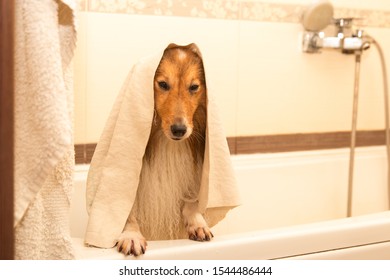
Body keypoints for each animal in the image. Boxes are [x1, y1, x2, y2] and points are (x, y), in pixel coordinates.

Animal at [116, 43, 213, 256]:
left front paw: (198, 223)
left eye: (194, 87)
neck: (168, 143)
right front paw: (131, 236)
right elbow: (126, 210)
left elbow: (192, 201)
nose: (179, 130)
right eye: (162, 84)